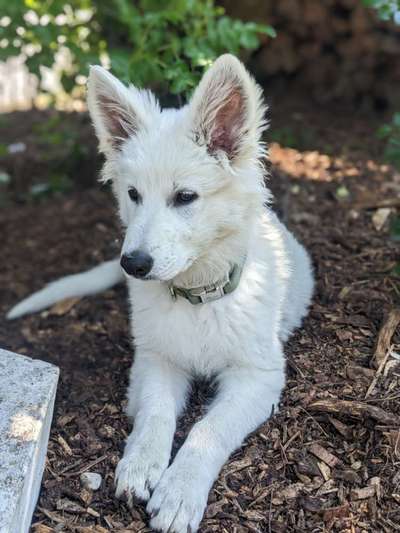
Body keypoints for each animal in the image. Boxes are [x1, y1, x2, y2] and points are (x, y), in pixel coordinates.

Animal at [6, 55, 312, 532]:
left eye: (185, 197)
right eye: (133, 194)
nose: (132, 265)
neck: (197, 297)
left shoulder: (258, 377)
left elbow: (208, 429)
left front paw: (180, 491)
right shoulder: (156, 360)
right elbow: (156, 414)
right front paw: (141, 465)